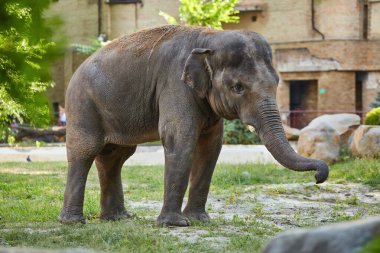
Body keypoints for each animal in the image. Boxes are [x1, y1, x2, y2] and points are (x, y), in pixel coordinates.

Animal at [60, 25, 330, 227]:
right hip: (83, 105)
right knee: (85, 152)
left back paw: (117, 218)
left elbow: (211, 147)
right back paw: (73, 222)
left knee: (115, 157)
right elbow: (180, 140)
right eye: (238, 87)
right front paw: (175, 224)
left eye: (276, 83)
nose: (319, 177)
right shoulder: (175, 83)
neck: (209, 37)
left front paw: (200, 220)